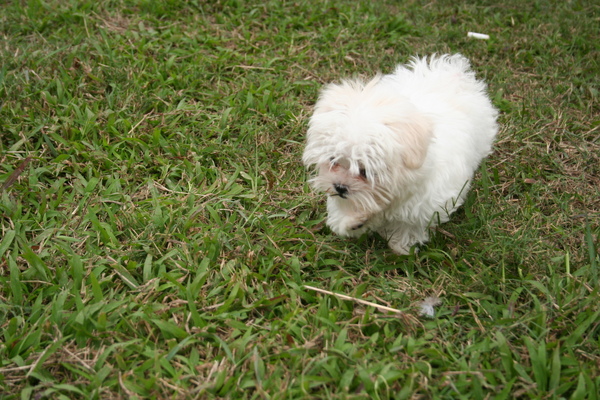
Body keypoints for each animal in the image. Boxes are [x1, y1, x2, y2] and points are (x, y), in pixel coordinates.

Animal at [304, 54, 496, 253]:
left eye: (366, 172)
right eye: (333, 161)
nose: (340, 187)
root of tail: (452, 73)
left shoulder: (424, 205)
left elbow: (409, 226)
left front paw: (401, 246)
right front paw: (352, 221)